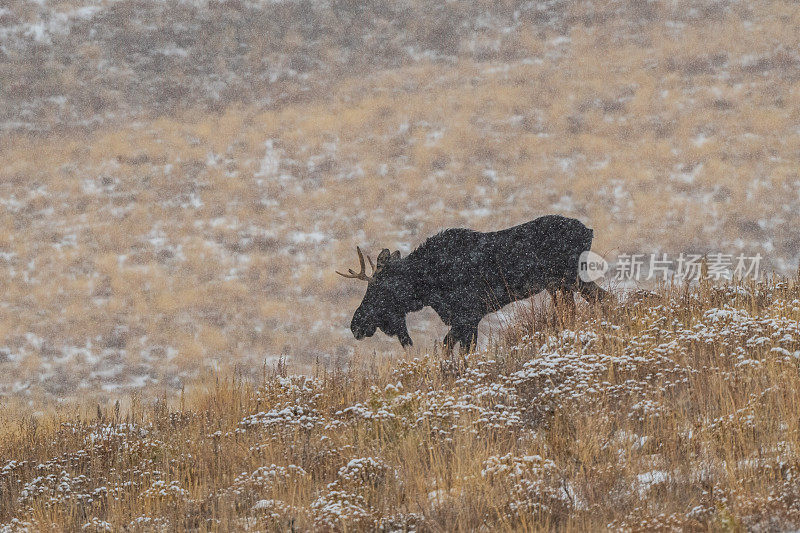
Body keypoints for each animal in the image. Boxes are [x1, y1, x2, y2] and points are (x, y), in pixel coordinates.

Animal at [336, 214, 608, 352]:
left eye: (378, 287)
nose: (356, 324)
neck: (426, 285)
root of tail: (589, 230)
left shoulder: (467, 316)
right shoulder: (467, 320)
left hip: (570, 280)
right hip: (560, 286)